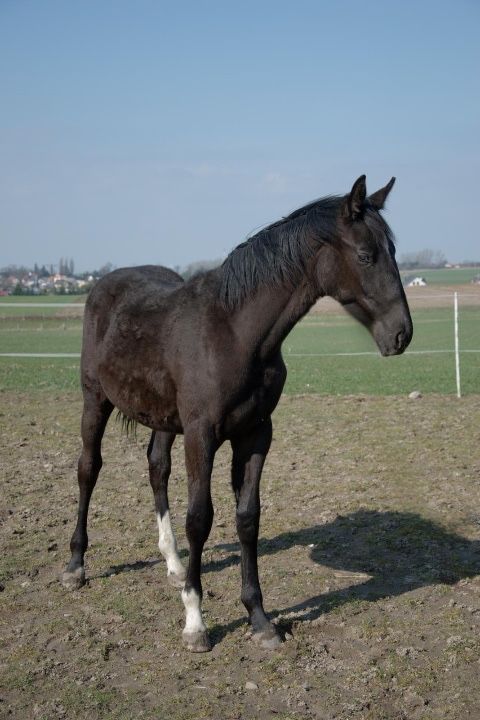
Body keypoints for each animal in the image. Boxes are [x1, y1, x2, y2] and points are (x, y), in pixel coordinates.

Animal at [61, 176, 412, 652]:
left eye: (392, 251)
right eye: (365, 255)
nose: (402, 334)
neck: (235, 333)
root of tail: (104, 285)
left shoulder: (256, 434)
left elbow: (248, 517)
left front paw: (259, 618)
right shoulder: (202, 434)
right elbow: (200, 518)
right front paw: (195, 622)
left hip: (164, 420)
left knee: (156, 468)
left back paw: (173, 564)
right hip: (95, 400)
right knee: (89, 469)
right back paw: (76, 565)